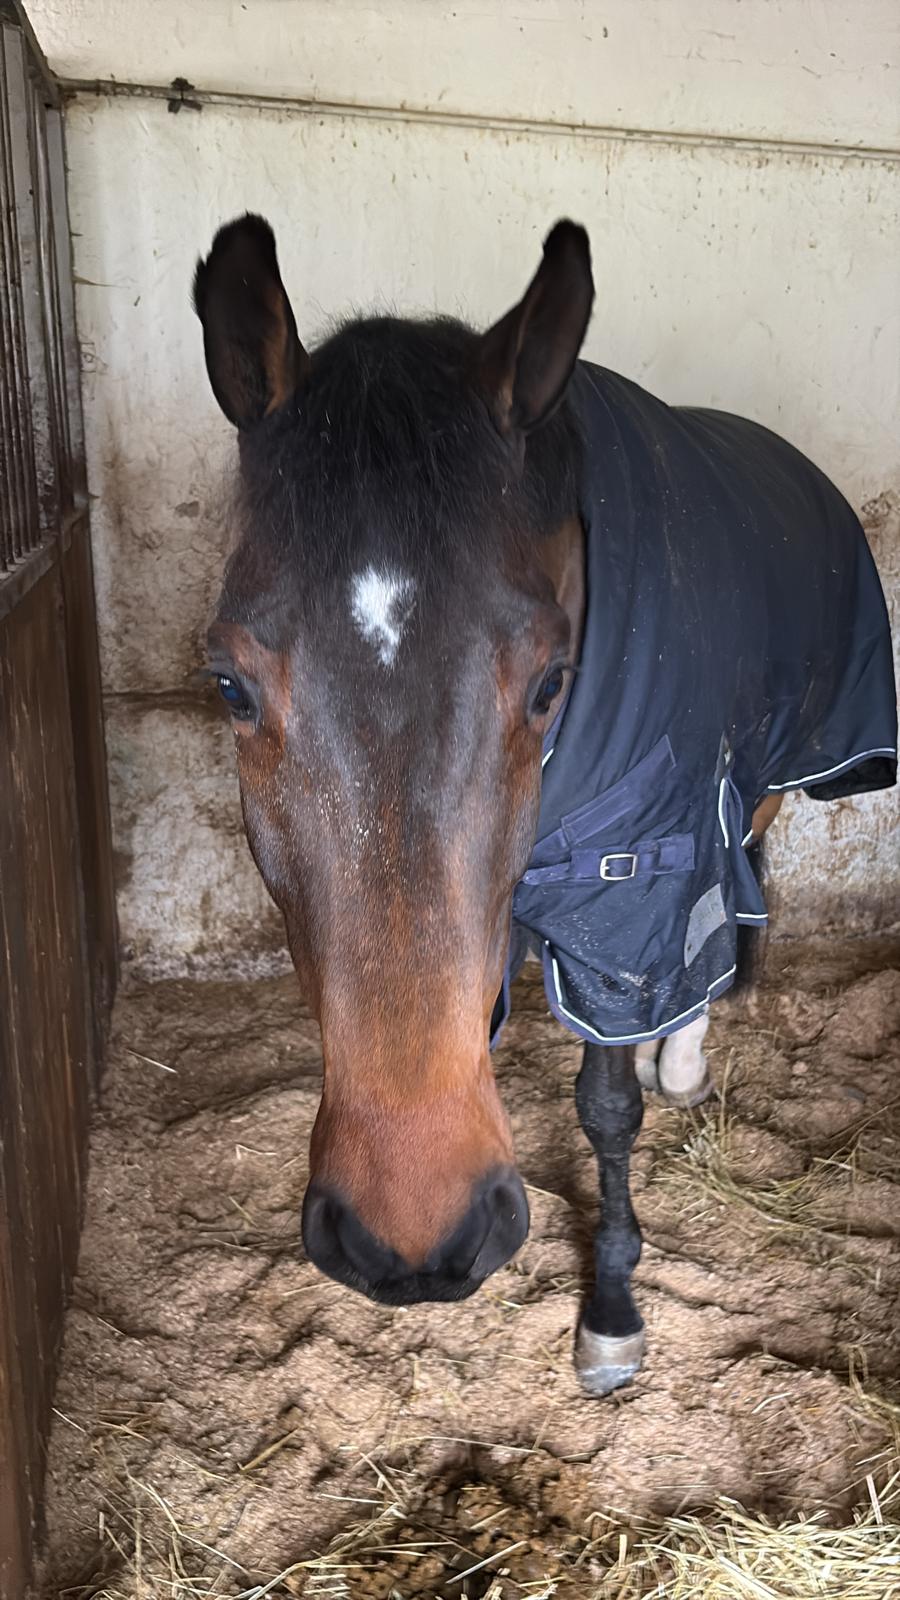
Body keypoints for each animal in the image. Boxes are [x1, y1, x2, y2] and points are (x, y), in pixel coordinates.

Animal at [193, 215, 896, 1395]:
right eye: (232, 687)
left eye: (551, 683)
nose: (413, 1238)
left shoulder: (626, 893)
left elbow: (606, 1104)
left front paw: (611, 1308)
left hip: (764, 782)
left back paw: (683, 1055)